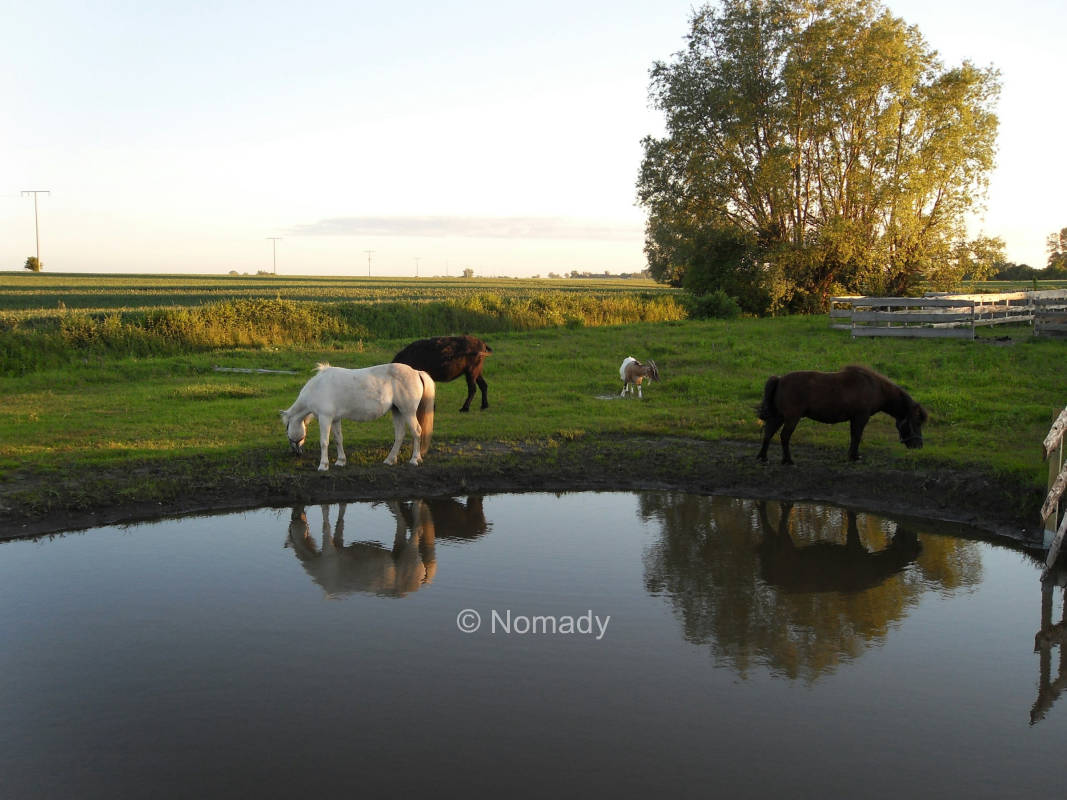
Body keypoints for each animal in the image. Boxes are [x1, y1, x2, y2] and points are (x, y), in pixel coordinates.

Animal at [280, 362, 435, 471]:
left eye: (287, 427)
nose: (296, 452)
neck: (318, 387)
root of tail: (416, 372)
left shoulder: (325, 418)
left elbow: (324, 442)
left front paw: (323, 465)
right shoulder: (335, 419)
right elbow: (338, 439)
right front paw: (341, 461)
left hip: (408, 412)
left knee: (416, 432)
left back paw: (414, 459)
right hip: (397, 411)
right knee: (400, 435)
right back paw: (390, 460)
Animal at [756, 364, 927, 464]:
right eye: (917, 422)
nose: (919, 445)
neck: (874, 387)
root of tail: (779, 380)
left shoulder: (854, 418)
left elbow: (853, 436)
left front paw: (851, 455)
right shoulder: (861, 417)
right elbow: (857, 436)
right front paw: (855, 457)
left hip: (779, 416)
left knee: (768, 433)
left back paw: (763, 457)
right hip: (792, 418)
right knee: (784, 436)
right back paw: (788, 460)